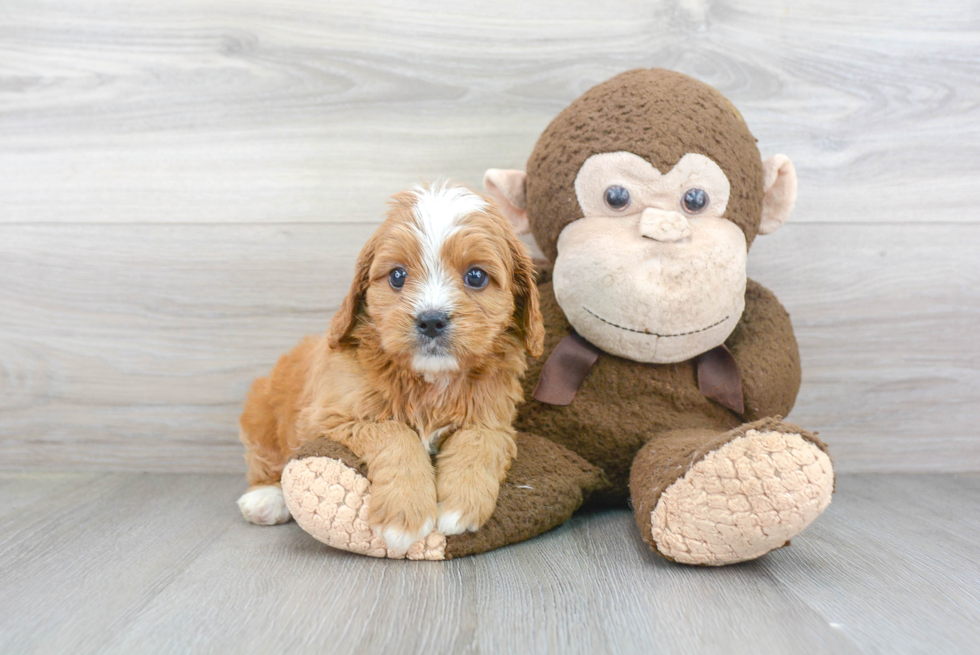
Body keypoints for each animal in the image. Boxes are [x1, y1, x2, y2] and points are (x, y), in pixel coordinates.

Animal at [236, 182, 544, 552]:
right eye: (397, 276)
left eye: (476, 276)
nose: (431, 320)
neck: (431, 380)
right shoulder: (330, 417)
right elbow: (394, 432)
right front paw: (405, 513)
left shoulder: (494, 419)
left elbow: (479, 442)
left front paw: (460, 506)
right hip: (262, 411)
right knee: (265, 459)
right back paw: (265, 498)